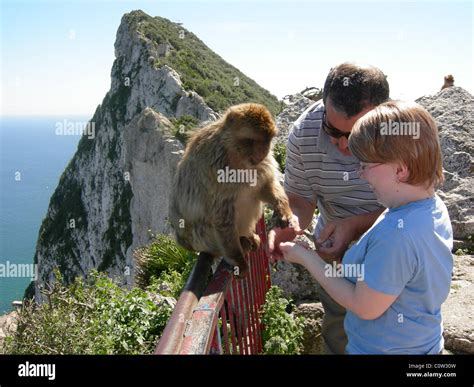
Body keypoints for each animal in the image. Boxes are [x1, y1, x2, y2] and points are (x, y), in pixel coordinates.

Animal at [171, 103, 292, 278]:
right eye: (252, 140)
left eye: (267, 140)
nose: (264, 151)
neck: (237, 156)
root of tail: (184, 242)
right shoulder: (216, 170)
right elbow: (221, 217)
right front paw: (239, 261)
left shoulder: (262, 164)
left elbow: (264, 187)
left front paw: (283, 210)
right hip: (201, 241)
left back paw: (248, 235)